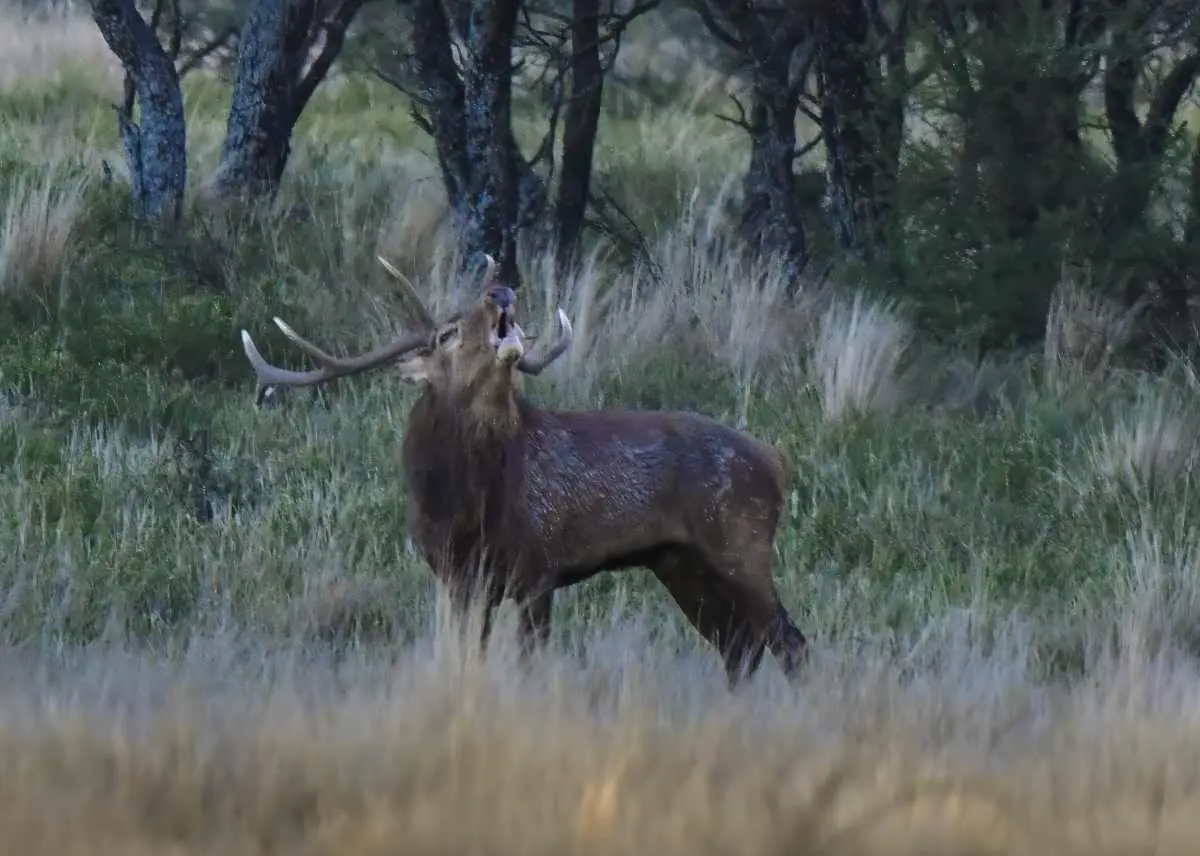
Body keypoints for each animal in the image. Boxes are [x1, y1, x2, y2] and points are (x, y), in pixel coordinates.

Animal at [239, 255, 809, 687]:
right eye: (445, 334)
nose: (500, 292)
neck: (460, 506)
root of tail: (778, 461)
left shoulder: (538, 566)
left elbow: (530, 662)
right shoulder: (459, 578)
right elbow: (471, 656)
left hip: (740, 541)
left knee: (788, 641)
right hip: (678, 561)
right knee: (739, 646)